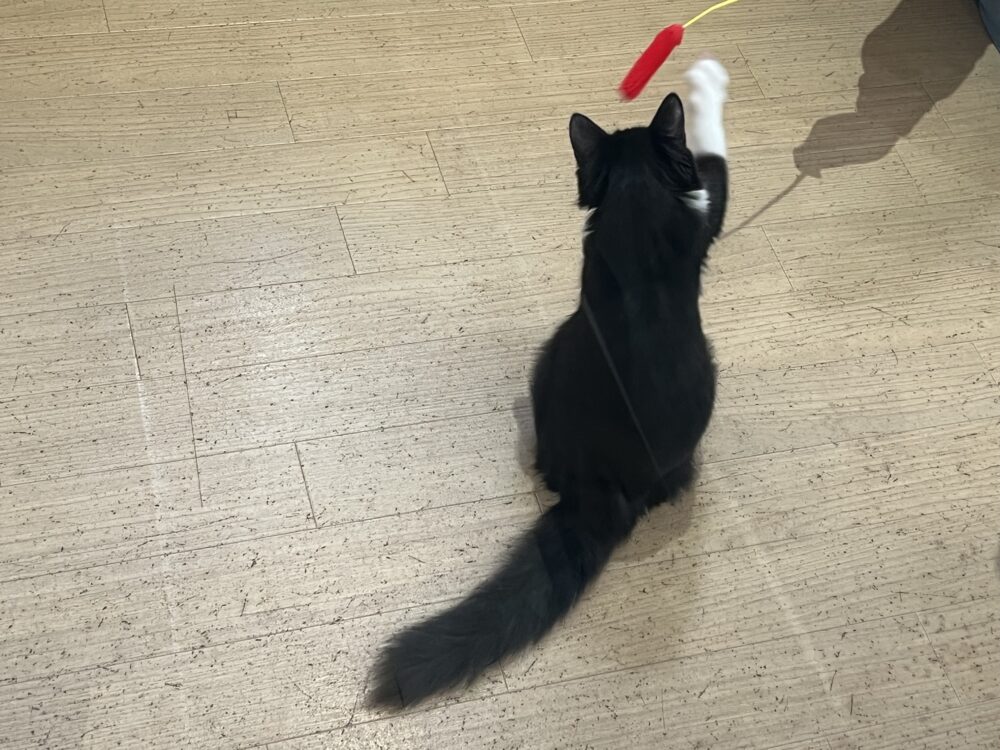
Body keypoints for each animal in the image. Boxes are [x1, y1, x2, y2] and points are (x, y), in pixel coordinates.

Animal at [370, 58, 731, 708]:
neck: (636, 189)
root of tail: (602, 488)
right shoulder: (705, 208)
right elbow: (716, 154)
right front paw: (706, 84)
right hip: (627, 361)